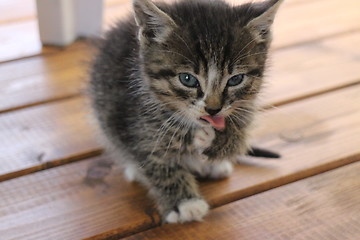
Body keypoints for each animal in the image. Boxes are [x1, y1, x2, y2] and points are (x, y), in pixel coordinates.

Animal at [88, 0, 282, 223]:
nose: (213, 109)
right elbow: (156, 162)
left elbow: (239, 139)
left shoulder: (246, 108)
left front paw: (217, 140)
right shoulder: (133, 122)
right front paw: (184, 203)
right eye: (187, 79)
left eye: (236, 79)